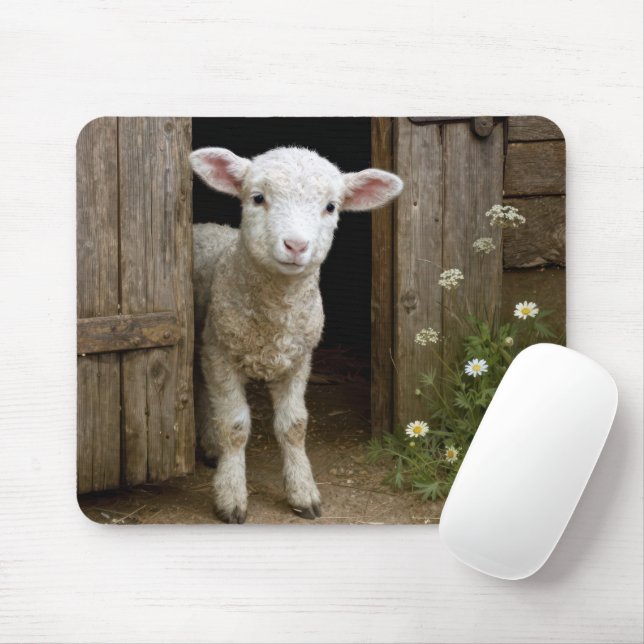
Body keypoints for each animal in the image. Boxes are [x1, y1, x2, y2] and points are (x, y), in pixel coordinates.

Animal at [190, 145, 403, 523]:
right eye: (258, 198)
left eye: (331, 206)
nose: (296, 245)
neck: (275, 316)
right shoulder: (221, 353)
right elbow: (234, 427)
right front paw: (231, 495)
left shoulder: (299, 360)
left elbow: (294, 426)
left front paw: (303, 491)